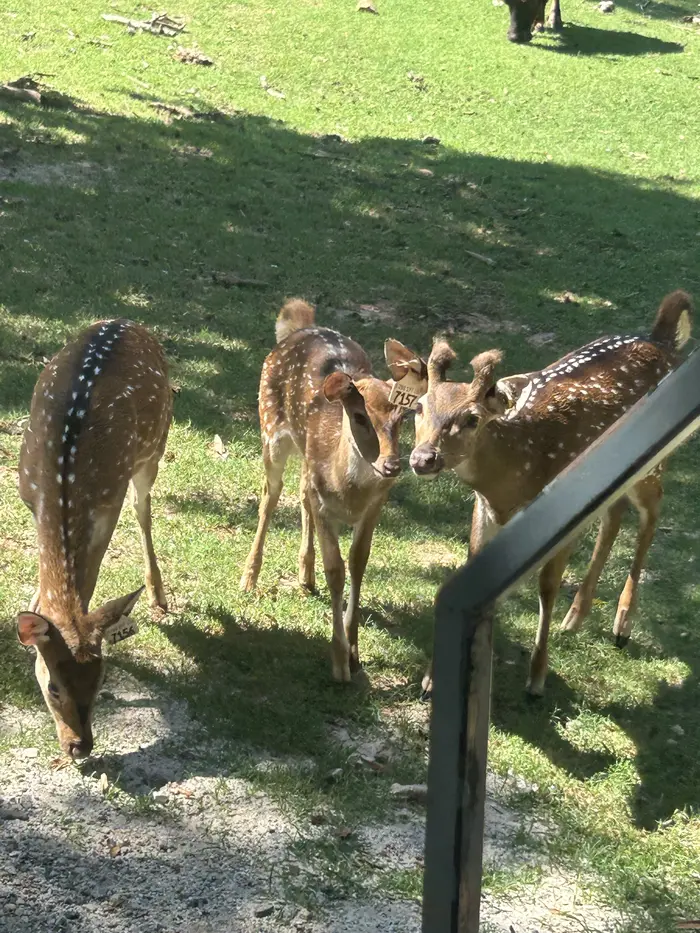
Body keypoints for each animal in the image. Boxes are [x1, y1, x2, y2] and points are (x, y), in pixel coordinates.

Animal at [16, 319, 173, 759]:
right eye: (53, 686)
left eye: (102, 679)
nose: (80, 746)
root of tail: (126, 321)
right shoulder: (27, 495)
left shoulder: (108, 502)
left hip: (154, 448)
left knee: (144, 509)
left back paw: (158, 596)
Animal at [241, 299, 428, 682]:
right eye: (359, 416)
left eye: (402, 417)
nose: (391, 466)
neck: (349, 491)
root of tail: (299, 327)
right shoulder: (325, 503)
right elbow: (336, 570)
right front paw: (339, 662)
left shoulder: (375, 505)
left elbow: (358, 563)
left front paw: (355, 652)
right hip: (270, 429)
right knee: (270, 495)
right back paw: (249, 578)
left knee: (299, 491)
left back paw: (305, 575)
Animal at [410, 290, 693, 698]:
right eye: (419, 407)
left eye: (472, 418)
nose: (423, 458)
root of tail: (662, 339)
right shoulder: (485, 511)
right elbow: (470, 568)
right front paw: (433, 678)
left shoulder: (562, 519)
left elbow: (547, 586)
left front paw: (538, 677)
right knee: (615, 514)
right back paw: (576, 616)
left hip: (653, 463)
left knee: (652, 512)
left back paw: (622, 623)